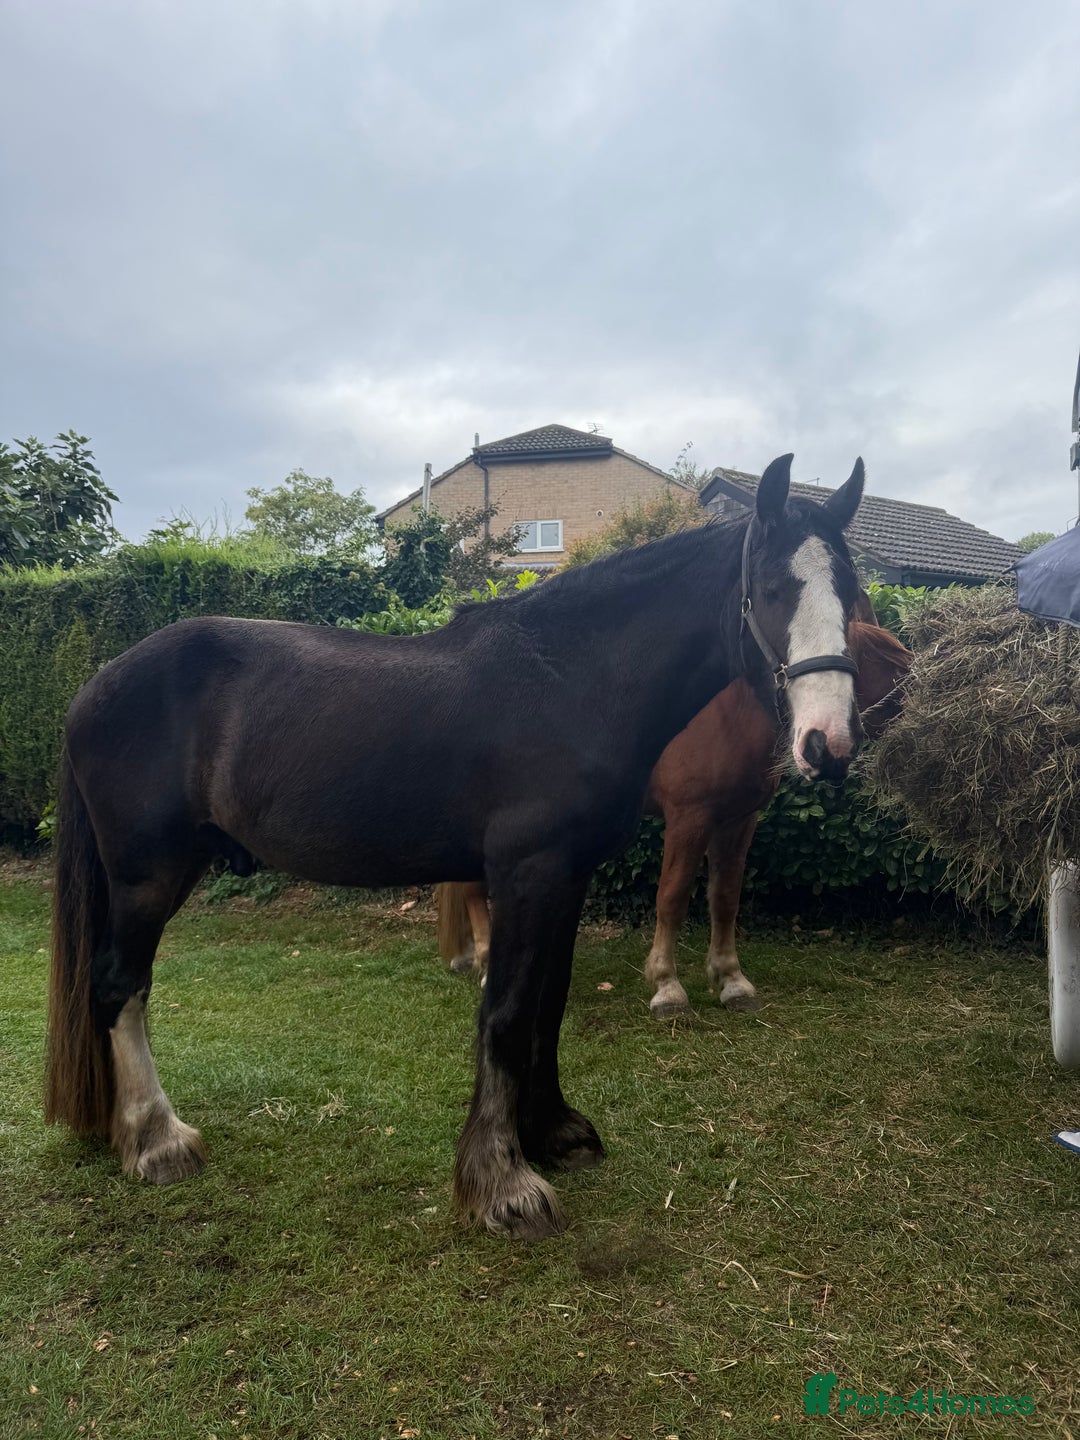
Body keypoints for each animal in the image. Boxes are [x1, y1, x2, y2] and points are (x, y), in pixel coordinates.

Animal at [436, 619, 911, 1012]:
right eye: (887, 661)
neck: (727, 716)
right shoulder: (689, 819)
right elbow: (672, 896)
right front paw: (667, 986)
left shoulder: (738, 821)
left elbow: (725, 898)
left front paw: (731, 980)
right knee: (474, 890)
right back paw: (484, 964)